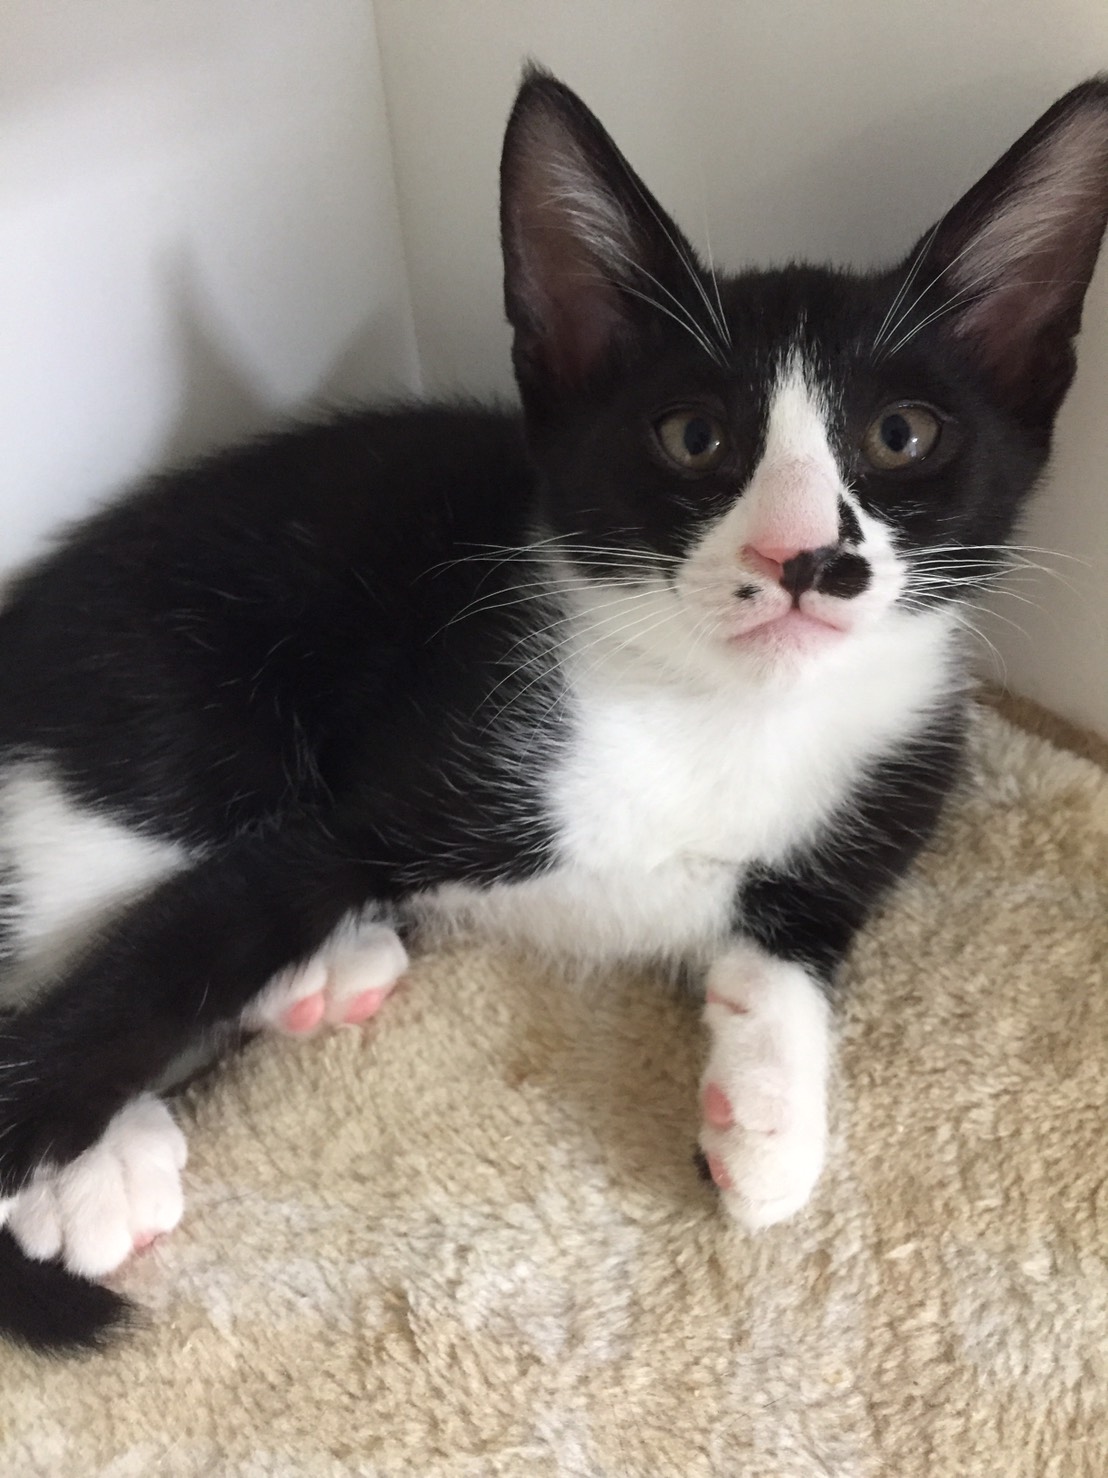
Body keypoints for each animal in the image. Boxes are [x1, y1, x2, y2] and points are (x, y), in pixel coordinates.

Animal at [1, 66, 1106, 1353]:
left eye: (900, 434)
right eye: (694, 435)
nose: (800, 557)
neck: (723, 711)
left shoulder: (889, 792)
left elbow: (793, 944)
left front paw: (768, 1114)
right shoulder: (412, 764)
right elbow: (171, 957)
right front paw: (46, 1132)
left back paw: (329, 970)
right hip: (167, 708)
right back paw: (105, 1164)